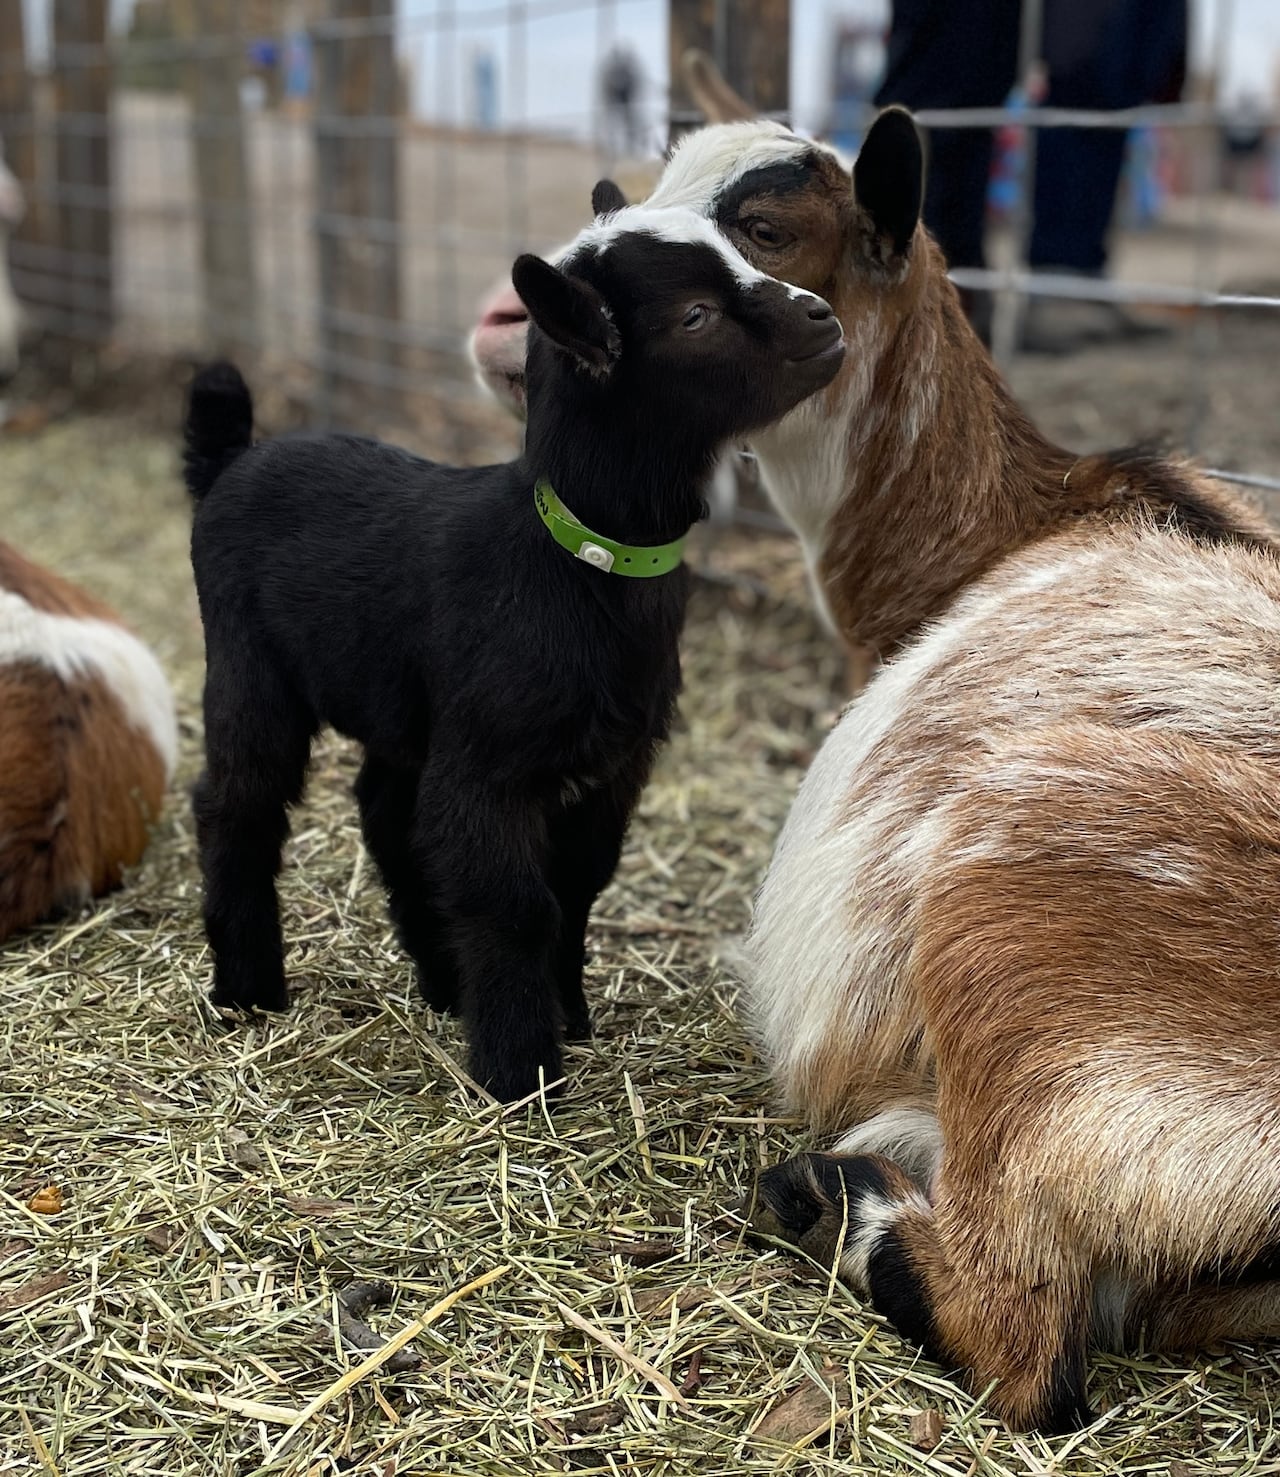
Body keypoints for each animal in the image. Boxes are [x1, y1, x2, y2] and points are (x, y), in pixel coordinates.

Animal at [184, 190, 844, 1104]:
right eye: (696, 315)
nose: (824, 317)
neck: (574, 561)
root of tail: (231, 460)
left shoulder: (610, 766)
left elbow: (576, 887)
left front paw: (568, 1018)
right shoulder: (490, 769)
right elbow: (516, 902)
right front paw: (520, 1068)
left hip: (407, 707)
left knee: (386, 809)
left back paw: (438, 980)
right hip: (250, 667)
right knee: (237, 801)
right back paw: (249, 989)